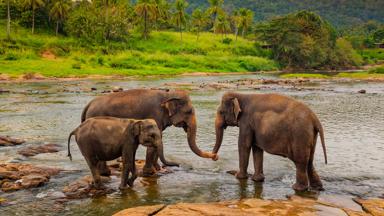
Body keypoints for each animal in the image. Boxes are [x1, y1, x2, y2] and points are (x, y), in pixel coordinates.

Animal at [80, 88, 216, 176]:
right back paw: (106, 173)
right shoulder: (155, 114)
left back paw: (104, 173)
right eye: (189, 111)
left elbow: (159, 139)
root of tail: (88, 105)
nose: (215, 157)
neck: (167, 95)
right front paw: (150, 173)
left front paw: (157, 169)